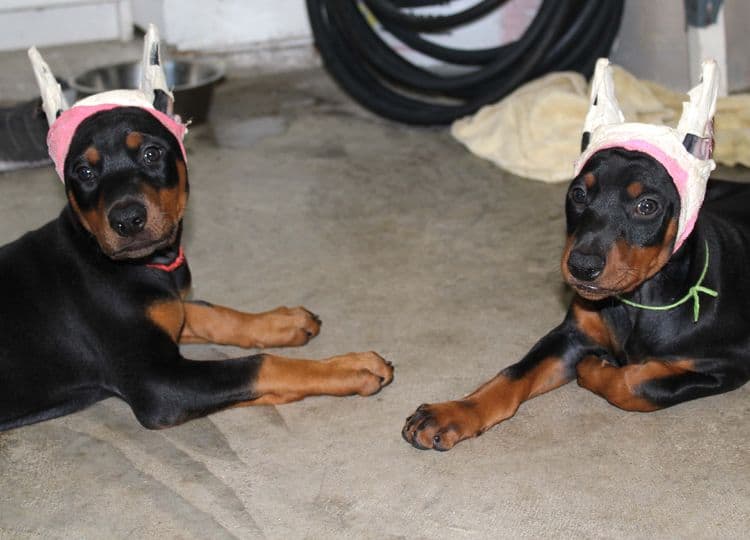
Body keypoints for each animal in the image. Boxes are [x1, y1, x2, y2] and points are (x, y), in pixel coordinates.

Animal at [0, 101, 396, 430]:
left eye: (151, 153)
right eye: (83, 171)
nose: (127, 220)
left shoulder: (169, 308)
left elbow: (209, 311)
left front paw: (282, 321)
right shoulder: (157, 385)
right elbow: (259, 364)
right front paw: (350, 366)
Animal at [406, 144, 750, 452]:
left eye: (647, 206)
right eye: (579, 194)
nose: (582, 266)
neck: (634, 301)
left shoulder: (729, 363)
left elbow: (635, 384)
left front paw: (593, 368)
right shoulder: (573, 335)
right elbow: (514, 373)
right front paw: (452, 412)